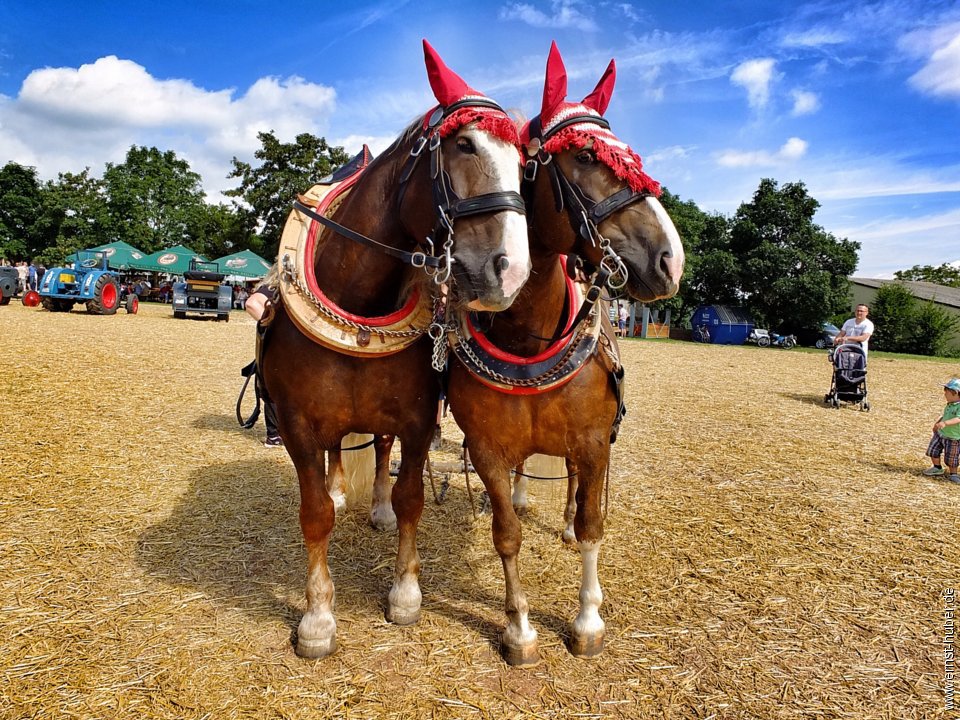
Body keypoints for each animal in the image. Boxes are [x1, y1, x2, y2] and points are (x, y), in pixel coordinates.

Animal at [260, 40, 532, 660]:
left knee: (380, 450)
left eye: (523, 162)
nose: (511, 271)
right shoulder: (298, 423)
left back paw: (377, 505)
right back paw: (342, 491)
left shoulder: (415, 417)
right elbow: (314, 514)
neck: (356, 296)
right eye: (463, 144)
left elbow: (411, 497)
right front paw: (317, 618)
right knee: (338, 456)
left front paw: (405, 592)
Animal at [446, 43, 688, 664]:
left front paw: (587, 620)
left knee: (579, 494)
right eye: (583, 155)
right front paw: (518, 629)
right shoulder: (487, 449)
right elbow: (506, 533)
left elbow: (593, 525)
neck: (527, 335)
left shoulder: (594, 443)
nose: (670, 259)